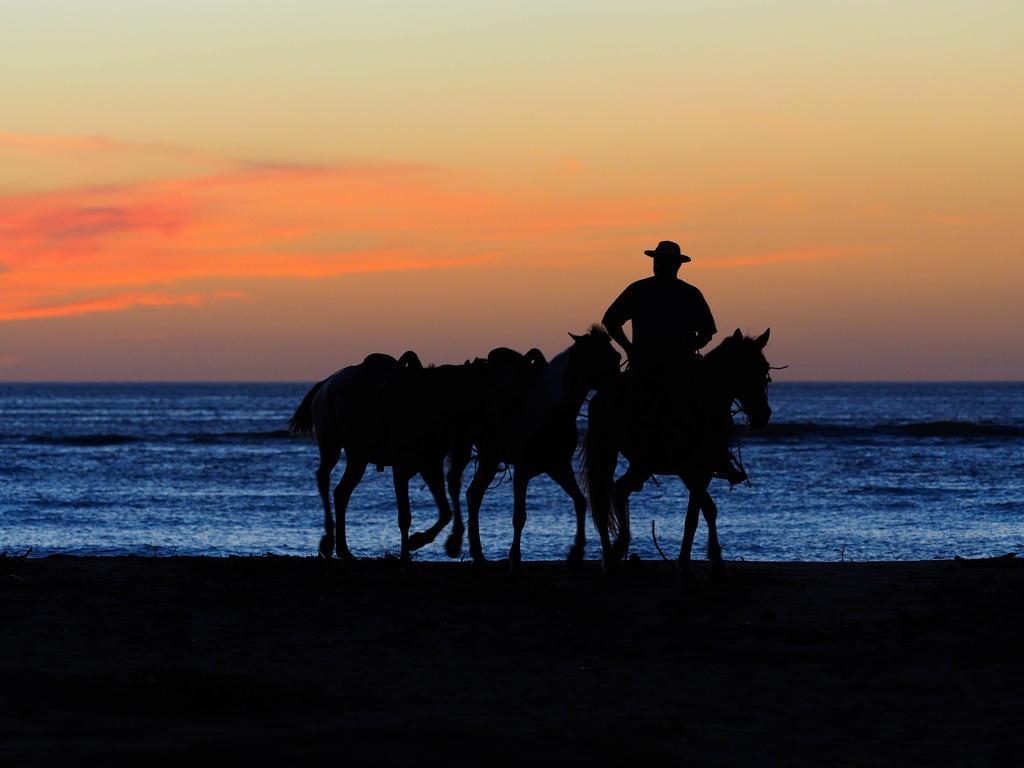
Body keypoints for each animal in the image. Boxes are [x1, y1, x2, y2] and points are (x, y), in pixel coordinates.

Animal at [284, 354, 483, 565]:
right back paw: (329, 541)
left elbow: (445, 512)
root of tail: (325, 384)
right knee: (324, 478)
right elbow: (405, 516)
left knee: (341, 493)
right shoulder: (401, 469)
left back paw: (344, 550)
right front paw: (405, 555)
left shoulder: (430, 466)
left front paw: (418, 541)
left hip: (357, 457)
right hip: (334, 445)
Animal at [444, 325, 618, 573]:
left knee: (474, 495)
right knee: (470, 493)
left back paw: (478, 556)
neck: (552, 407)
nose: (619, 391)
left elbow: (581, 502)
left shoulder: (558, 466)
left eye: (616, 357)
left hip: (489, 458)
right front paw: (515, 561)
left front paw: (578, 554)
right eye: (600, 358)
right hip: (481, 454)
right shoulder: (523, 470)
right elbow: (519, 517)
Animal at [581, 327, 770, 581]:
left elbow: (702, 513)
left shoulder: (704, 470)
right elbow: (699, 513)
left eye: (764, 369)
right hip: (607, 453)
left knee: (620, 488)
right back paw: (610, 559)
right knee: (603, 500)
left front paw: (709, 563)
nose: (763, 415)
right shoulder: (687, 470)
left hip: (642, 464)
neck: (703, 402)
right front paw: (694, 565)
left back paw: (619, 547)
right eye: (744, 368)